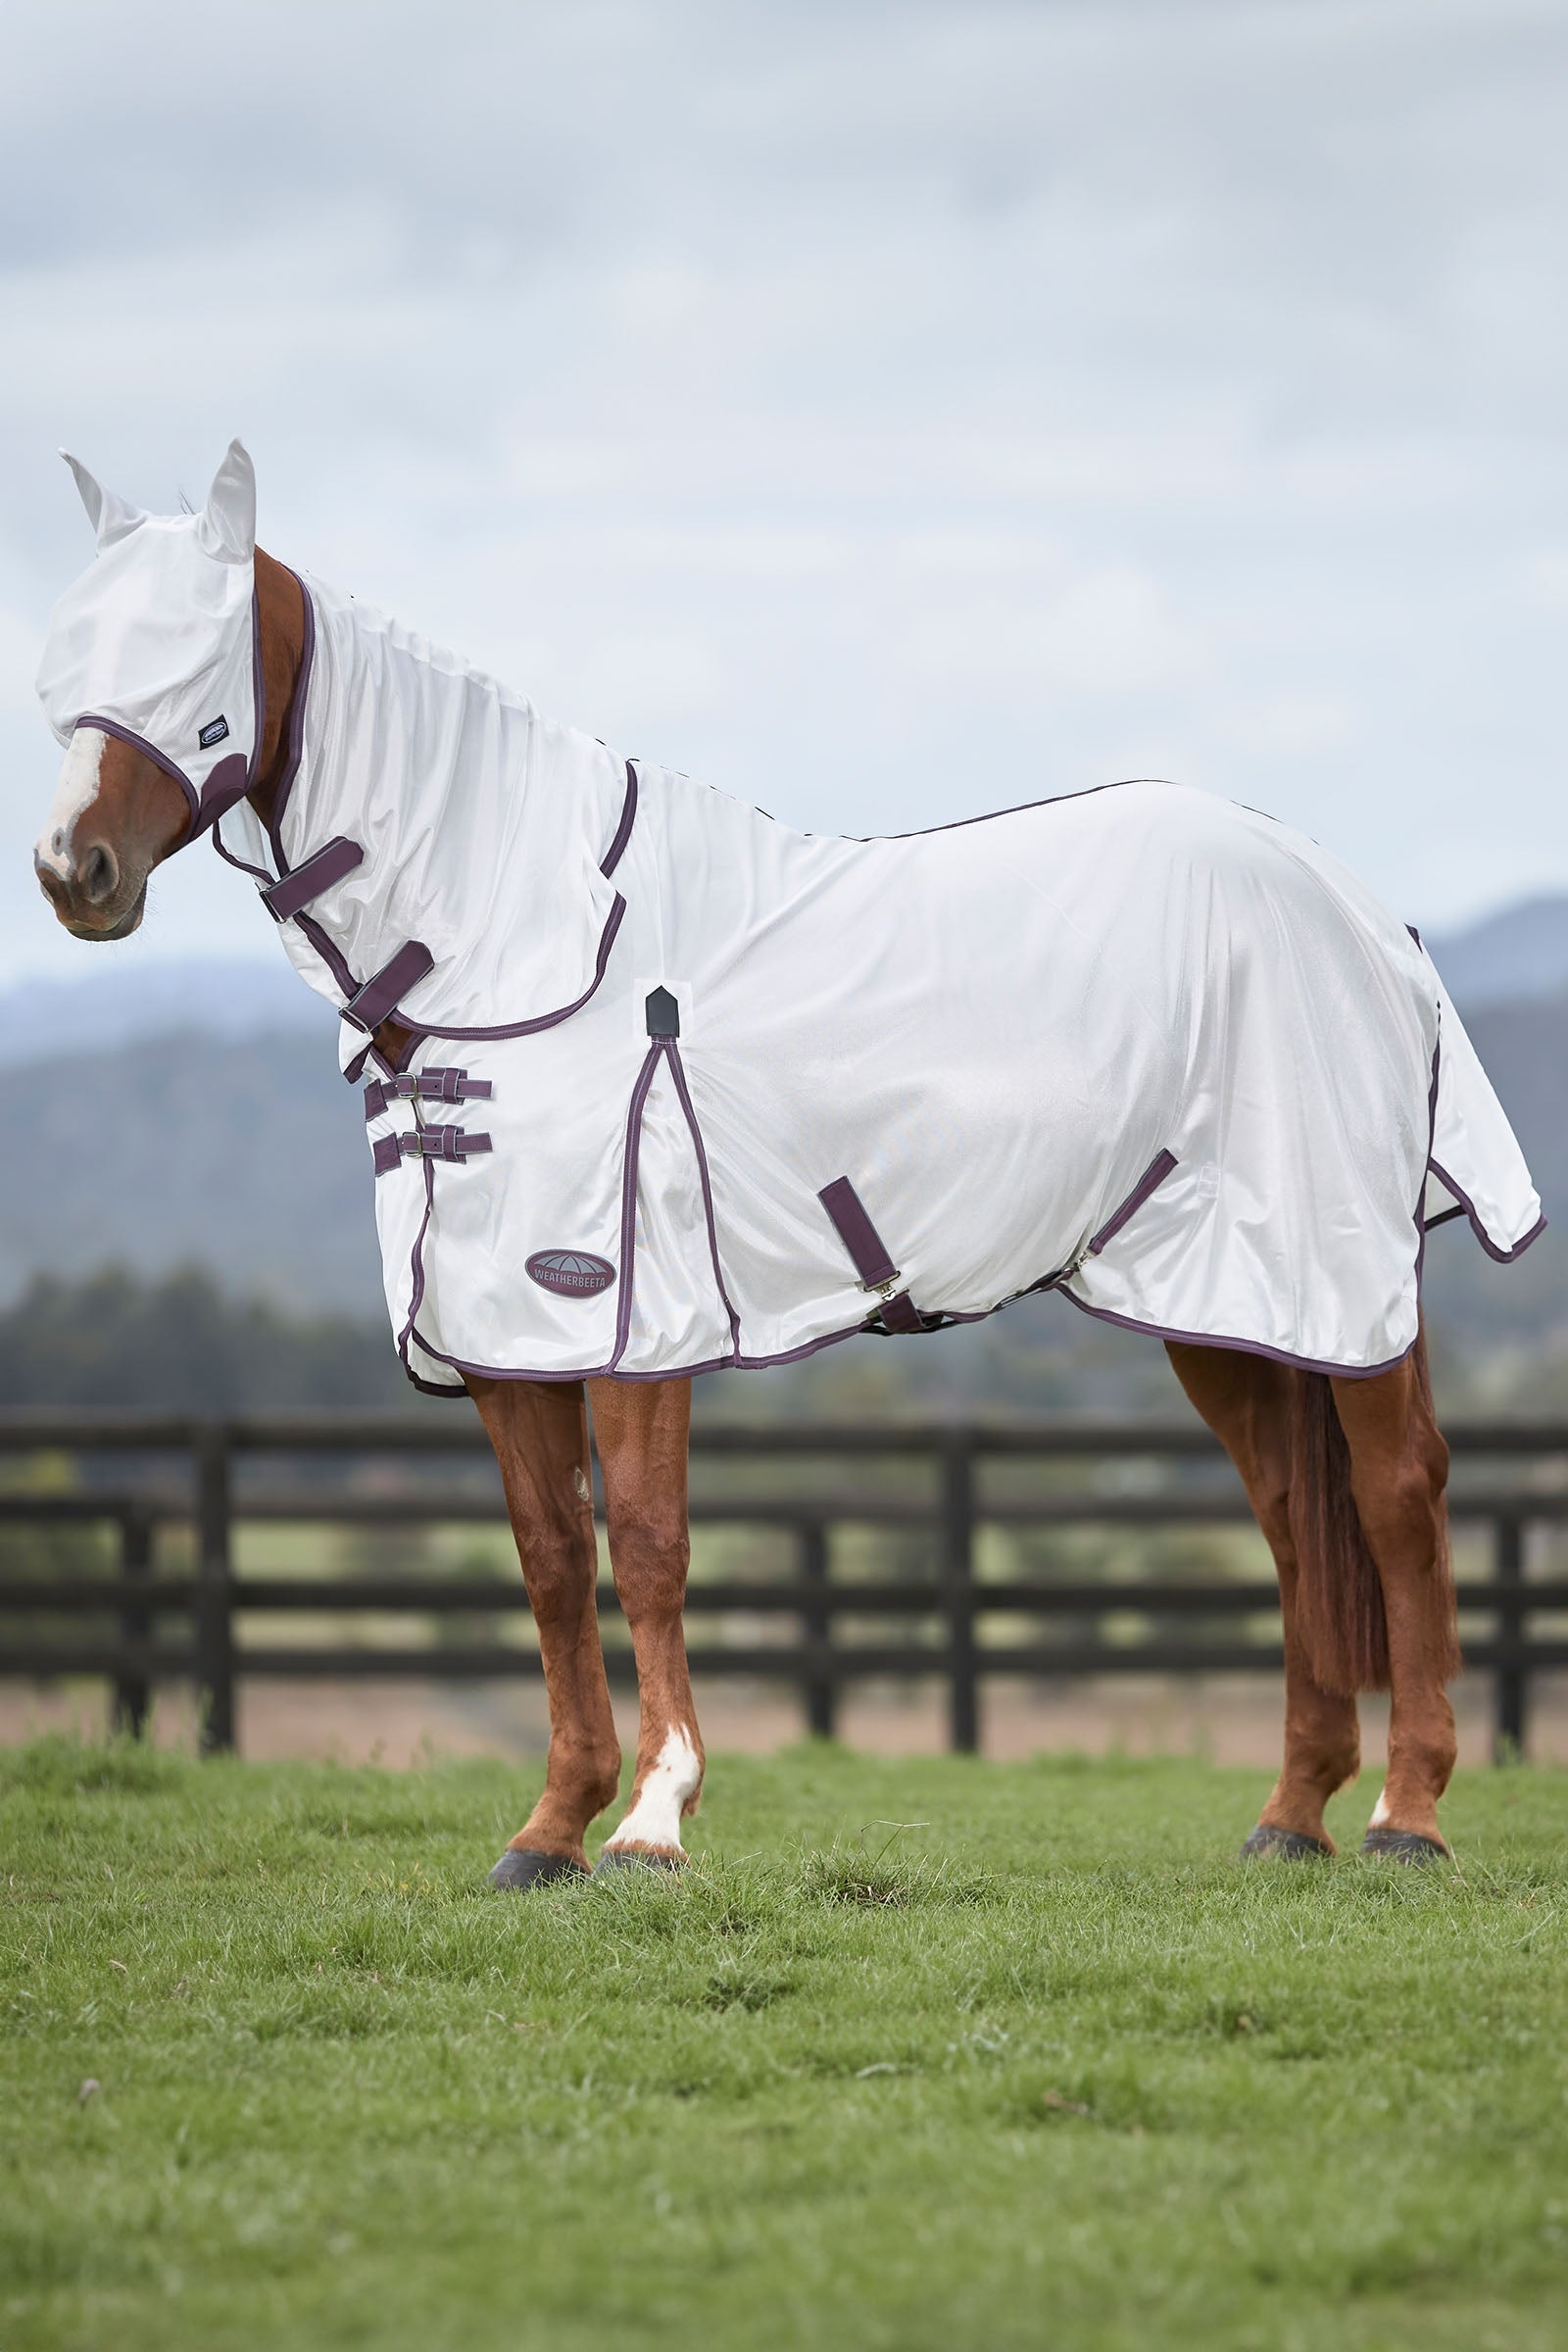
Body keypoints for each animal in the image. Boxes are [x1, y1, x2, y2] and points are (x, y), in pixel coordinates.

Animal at [32, 440, 1544, 1874]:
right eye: (62, 664)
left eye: (196, 667)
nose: (70, 871)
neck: (521, 939)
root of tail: (1364, 911)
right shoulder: (504, 1330)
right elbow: (548, 1558)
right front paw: (548, 1831)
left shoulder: (633, 1317)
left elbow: (648, 1548)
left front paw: (652, 1822)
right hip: (1218, 1300)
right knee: (1291, 1518)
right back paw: (1290, 1817)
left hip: (1338, 1279)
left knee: (1398, 1502)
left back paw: (1408, 1816)